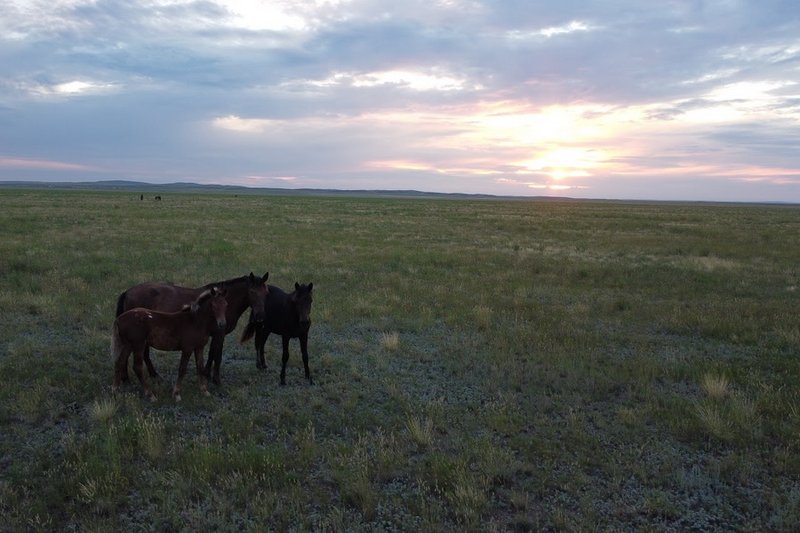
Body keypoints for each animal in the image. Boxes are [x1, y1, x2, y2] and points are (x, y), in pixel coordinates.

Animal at [115, 272, 270, 384]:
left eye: (266, 292)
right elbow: (218, 356)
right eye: (252, 292)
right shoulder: (219, 333)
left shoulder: (213, 334)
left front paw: (206, 373)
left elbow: (212, 354)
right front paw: (216, 380)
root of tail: (128, 292)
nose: (260, 316)